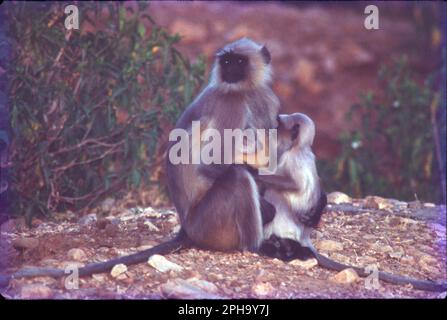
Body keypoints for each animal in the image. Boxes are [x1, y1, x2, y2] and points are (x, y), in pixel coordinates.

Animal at [258, 112, 446, 292]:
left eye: (280, 125)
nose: (272, 128)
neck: (299, 147)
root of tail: (305, 236)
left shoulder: (293, 158)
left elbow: (295, 184)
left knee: (275, 193)